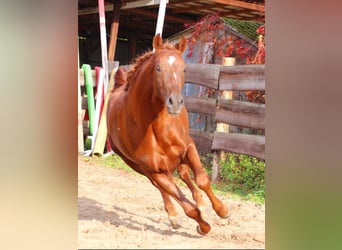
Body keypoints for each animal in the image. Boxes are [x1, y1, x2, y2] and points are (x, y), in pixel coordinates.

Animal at [107, 33, 230, 234]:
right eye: (158, 67)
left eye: (184, 69)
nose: (175, 103)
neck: (154, 126)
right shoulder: (153, 170)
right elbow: (187, 207)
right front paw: (202, 226)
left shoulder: (189, 147)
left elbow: (202, 179)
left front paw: (222, 210)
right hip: (141, 167)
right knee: (162, 187)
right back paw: (174, 215)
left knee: (184, 175)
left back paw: (202, 202)